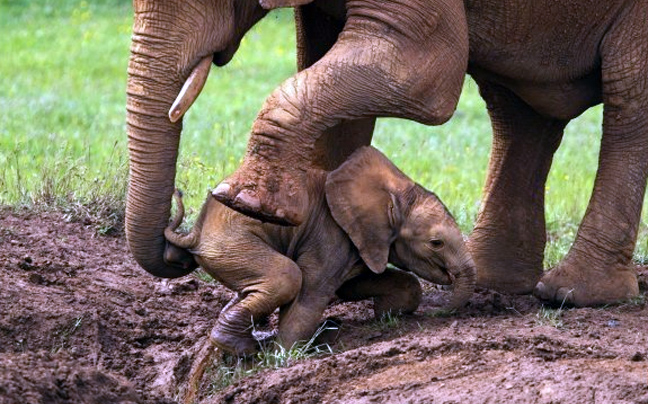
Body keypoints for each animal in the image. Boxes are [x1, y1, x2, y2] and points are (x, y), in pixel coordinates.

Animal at [165, 147, 474, 356]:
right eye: (436, 243)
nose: (439, 313)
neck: (395, 193)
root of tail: (196, 231)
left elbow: (353, 284)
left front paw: (387, 313)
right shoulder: (330, 234)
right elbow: (312, 294)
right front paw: (283, 356)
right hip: (231, 242)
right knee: (286, 277)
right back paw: (242, 348)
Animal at [210, 0, 644, 306]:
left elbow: (417, 76)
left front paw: (245, 203)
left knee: (627, 95)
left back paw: (571, 295)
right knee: (517, 111)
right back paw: (497, 281)